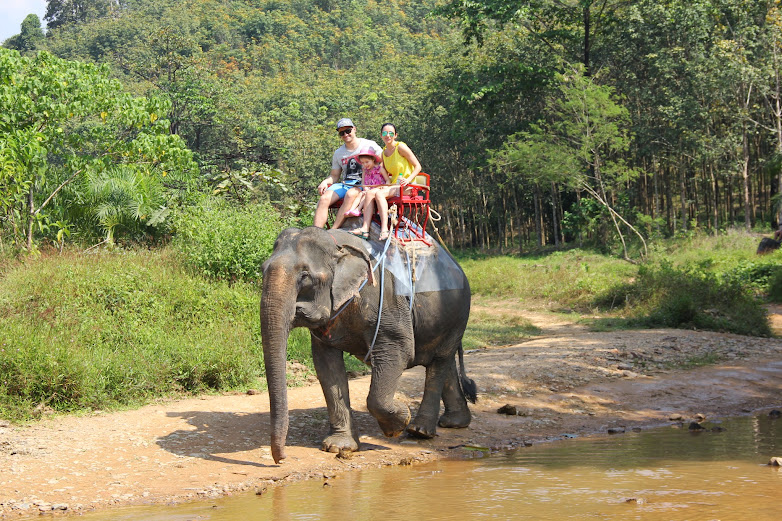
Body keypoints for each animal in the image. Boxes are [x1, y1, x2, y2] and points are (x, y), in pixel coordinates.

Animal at [262, 225, 478, 462]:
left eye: (305, 275)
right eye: (262, 270)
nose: (281, 458)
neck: (338, 244)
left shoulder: (388, 303)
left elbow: (399, 351)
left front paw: (398, 423)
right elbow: (326, 365)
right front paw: (339, 447)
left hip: (458, 313)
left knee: (438, 362)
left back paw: (419, 431)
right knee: (444, 361)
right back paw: (454, 422)